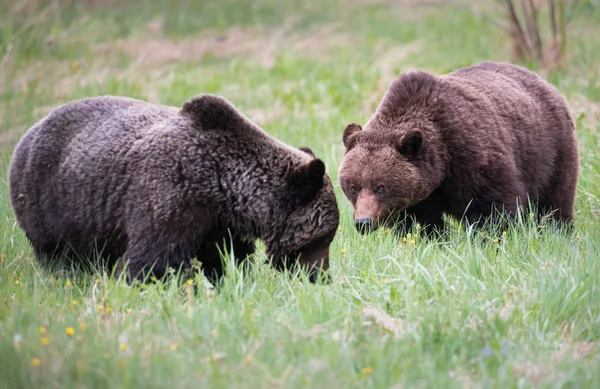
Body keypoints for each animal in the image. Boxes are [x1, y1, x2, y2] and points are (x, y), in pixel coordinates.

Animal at [9, 94, 340, 282]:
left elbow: (224, 260)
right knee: (58, 256)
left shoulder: (220, 225)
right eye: (323, 237)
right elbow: (151, 259)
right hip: (51, 204)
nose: (321, 276)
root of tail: (28, 132)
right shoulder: (169, 196)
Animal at [338, 61, 576, 233]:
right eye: (353, 186)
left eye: (381, 187)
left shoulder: (471, 156)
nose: (363, 222)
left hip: (550, 148)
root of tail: (541, 79)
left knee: (555, 199)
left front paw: (491, 238)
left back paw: (558, 230)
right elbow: (418, 223)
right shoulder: (418, 195)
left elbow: (492, 207)